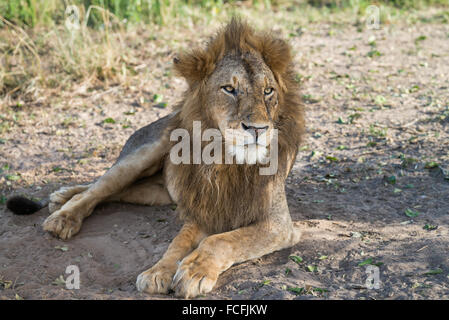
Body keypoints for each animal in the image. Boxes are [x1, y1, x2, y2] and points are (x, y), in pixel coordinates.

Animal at [6, 18, 304, 298]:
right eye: (229, 89)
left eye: (268, 91)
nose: (258, 129)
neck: (227, 160)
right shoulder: (206, 208)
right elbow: (181, 242)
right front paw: (159, 272)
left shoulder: (277, 223)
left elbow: (223, 240)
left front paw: (191, 272)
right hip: (144, 153)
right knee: (97, 189)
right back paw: (62, 216)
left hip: (155, 192)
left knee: (113, 192)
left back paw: (62, 197)